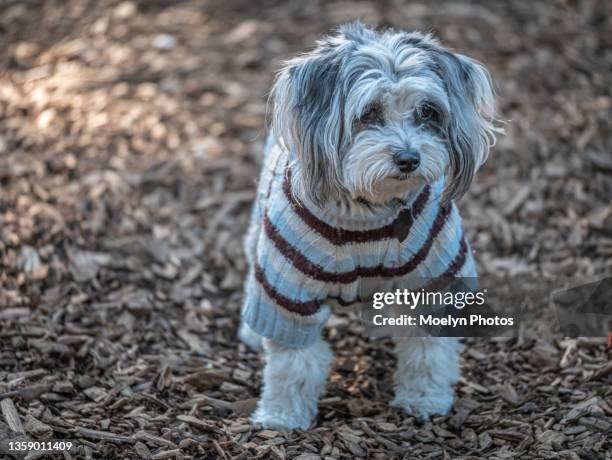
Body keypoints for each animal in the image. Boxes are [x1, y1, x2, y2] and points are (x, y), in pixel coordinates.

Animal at [238, 21, 498, 432]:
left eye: (428, 112)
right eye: (369, 113)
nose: (409, 158)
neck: (369, 212)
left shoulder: (434, 282)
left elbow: (428, 352)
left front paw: (424, 399)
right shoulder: (290, 291)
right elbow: (292, 364)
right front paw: (282, 416)